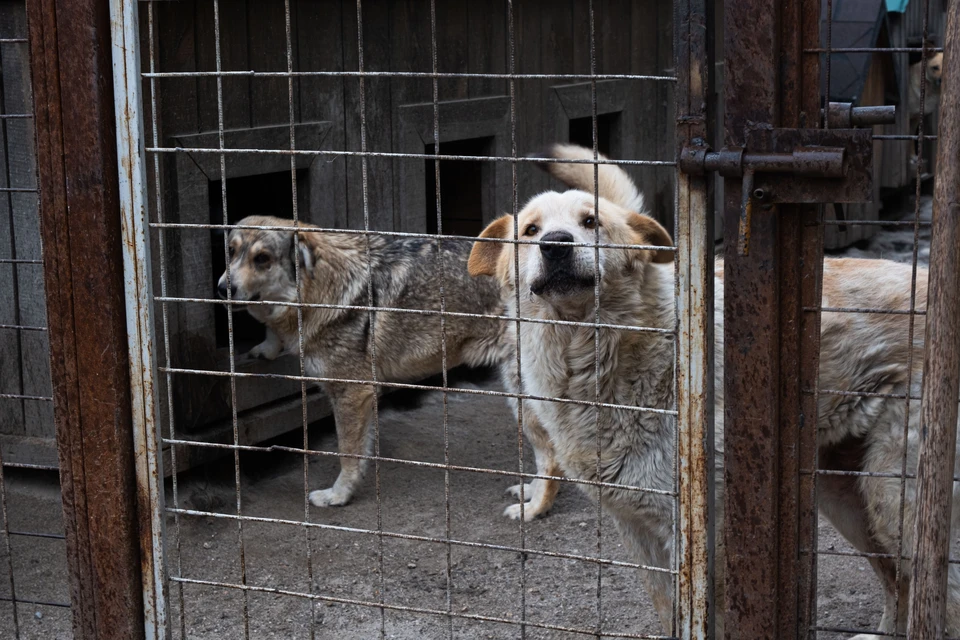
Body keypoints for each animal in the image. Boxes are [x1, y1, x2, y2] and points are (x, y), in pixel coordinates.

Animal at [217, 214, 564, 516]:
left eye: (262, 259)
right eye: (231, 251)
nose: (222, 289)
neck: (325, 288)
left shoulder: (351, 394)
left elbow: (347, 453)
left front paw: (338, 496)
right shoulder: (364, 398)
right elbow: (361, 454)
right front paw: (265, 348)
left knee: (552, 459)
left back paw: (534, 510)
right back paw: (529, 492)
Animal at [468, 142, 956, 636]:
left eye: (591, 222)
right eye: (530, 230)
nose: (555, 244)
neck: (593, 359)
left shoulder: (707, 531)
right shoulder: (638, 529)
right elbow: (669, 612)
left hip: (896, 497)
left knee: (939, 591)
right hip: (847, 497)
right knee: (899, 583)